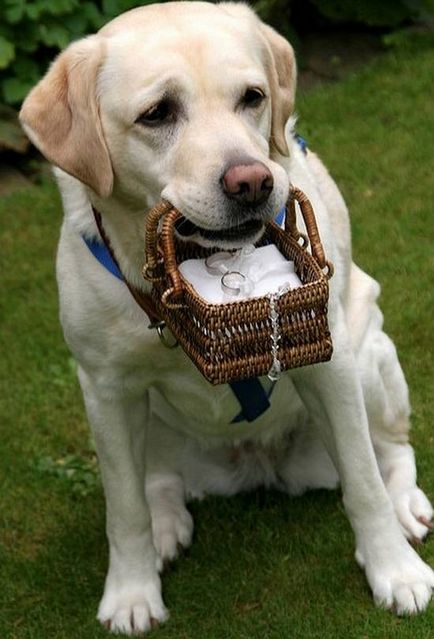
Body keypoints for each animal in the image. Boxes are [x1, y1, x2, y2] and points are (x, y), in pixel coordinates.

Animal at [20, 1, 434, 636]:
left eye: (252, 97)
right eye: (157, 113)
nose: (253, 181)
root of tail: (255, 465)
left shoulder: (330, 363)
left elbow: (363, 483)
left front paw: (396, 572)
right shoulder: (105, 389)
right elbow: (124, 509)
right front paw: (131, 593)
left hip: (369, 359)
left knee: (389, 449)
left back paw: (405, 505)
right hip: (143, 415)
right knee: (157, 481)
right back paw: (167, 522)